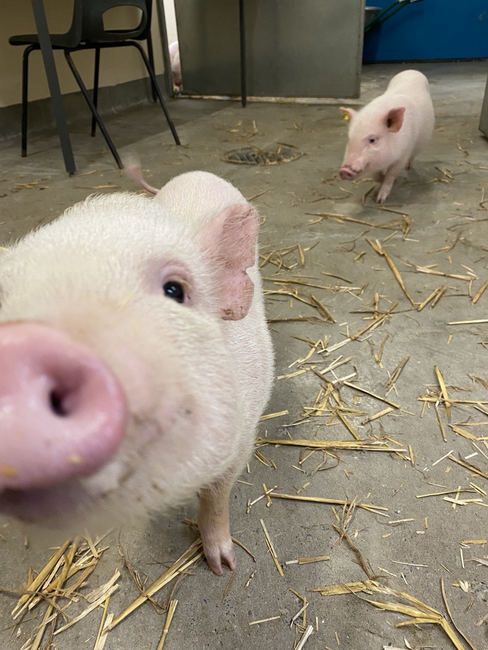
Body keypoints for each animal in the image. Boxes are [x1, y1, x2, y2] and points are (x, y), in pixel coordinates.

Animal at [340, 70, 434, 202]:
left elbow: (391, 174)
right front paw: (381, 180)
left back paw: (408, 167)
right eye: (349, 139)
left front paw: (380, 200)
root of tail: (412, 70)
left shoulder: (404, 153)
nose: (344, 170)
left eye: (372, 140)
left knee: (413, 157)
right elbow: (376, 175)